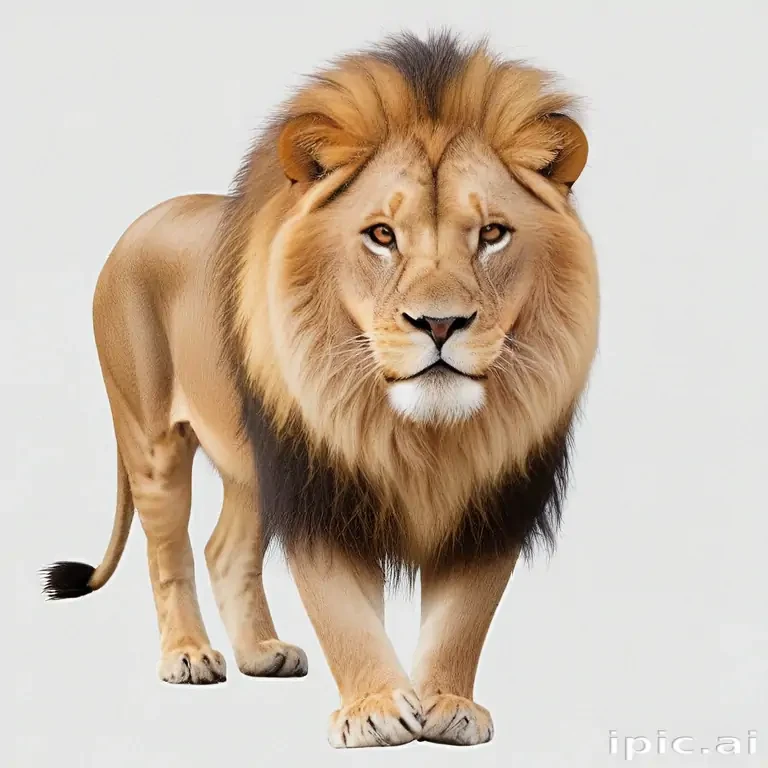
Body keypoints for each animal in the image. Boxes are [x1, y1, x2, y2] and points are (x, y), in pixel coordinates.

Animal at [41, 32, 598, 748]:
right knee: (167, 550)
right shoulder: (319, 485)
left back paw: (261, 653)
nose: (440, 323)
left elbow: (464, 616)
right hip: (152, 437)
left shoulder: (495, 497)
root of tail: (143, 220)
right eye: (382, 235)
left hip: (252, 465)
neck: (420, 436)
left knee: (225, 550)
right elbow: (341, 612)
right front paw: (374, 710)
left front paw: (447, 705)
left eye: (492, 234)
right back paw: (188, 655)